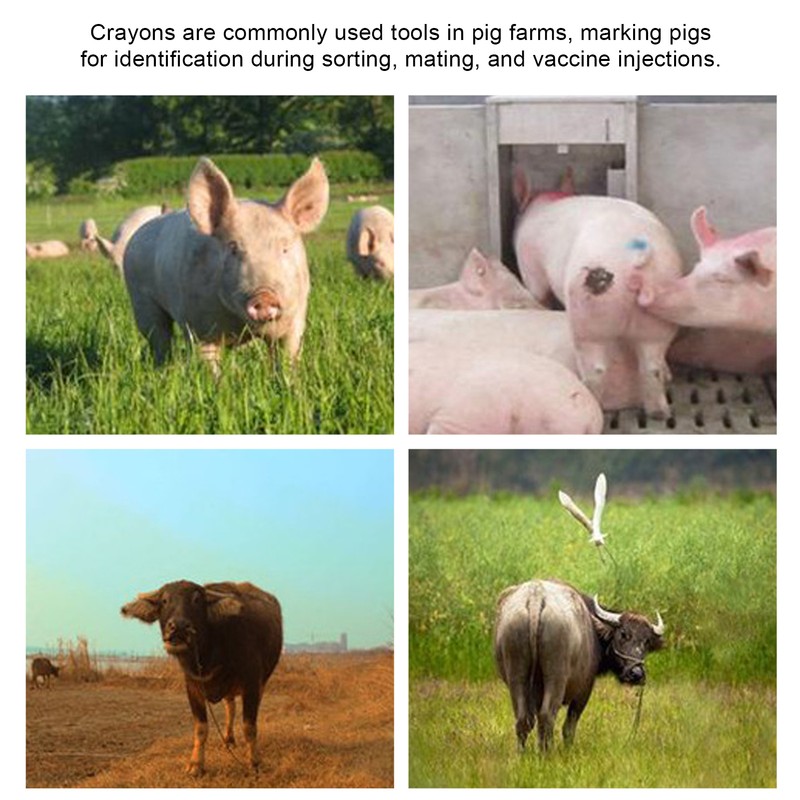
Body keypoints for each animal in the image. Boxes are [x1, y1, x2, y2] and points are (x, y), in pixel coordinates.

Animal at [123, 157, 329, 373]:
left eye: (285, 249)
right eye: (233, 248)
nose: (264, 296)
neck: (238, 321)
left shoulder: (296, 318)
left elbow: (288, 358)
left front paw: (289, 381)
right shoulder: (198, 327)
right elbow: (209, 365)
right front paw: (216, 382)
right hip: (141, 300)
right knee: (159, 338)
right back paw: (162, 370)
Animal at [513, 170, 682, 418]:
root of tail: (635, 255)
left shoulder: (531, 270)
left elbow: (538, 294)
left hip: (589, 311)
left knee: (597, 368)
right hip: (662, 301)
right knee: (652, 365)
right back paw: (659, 412)